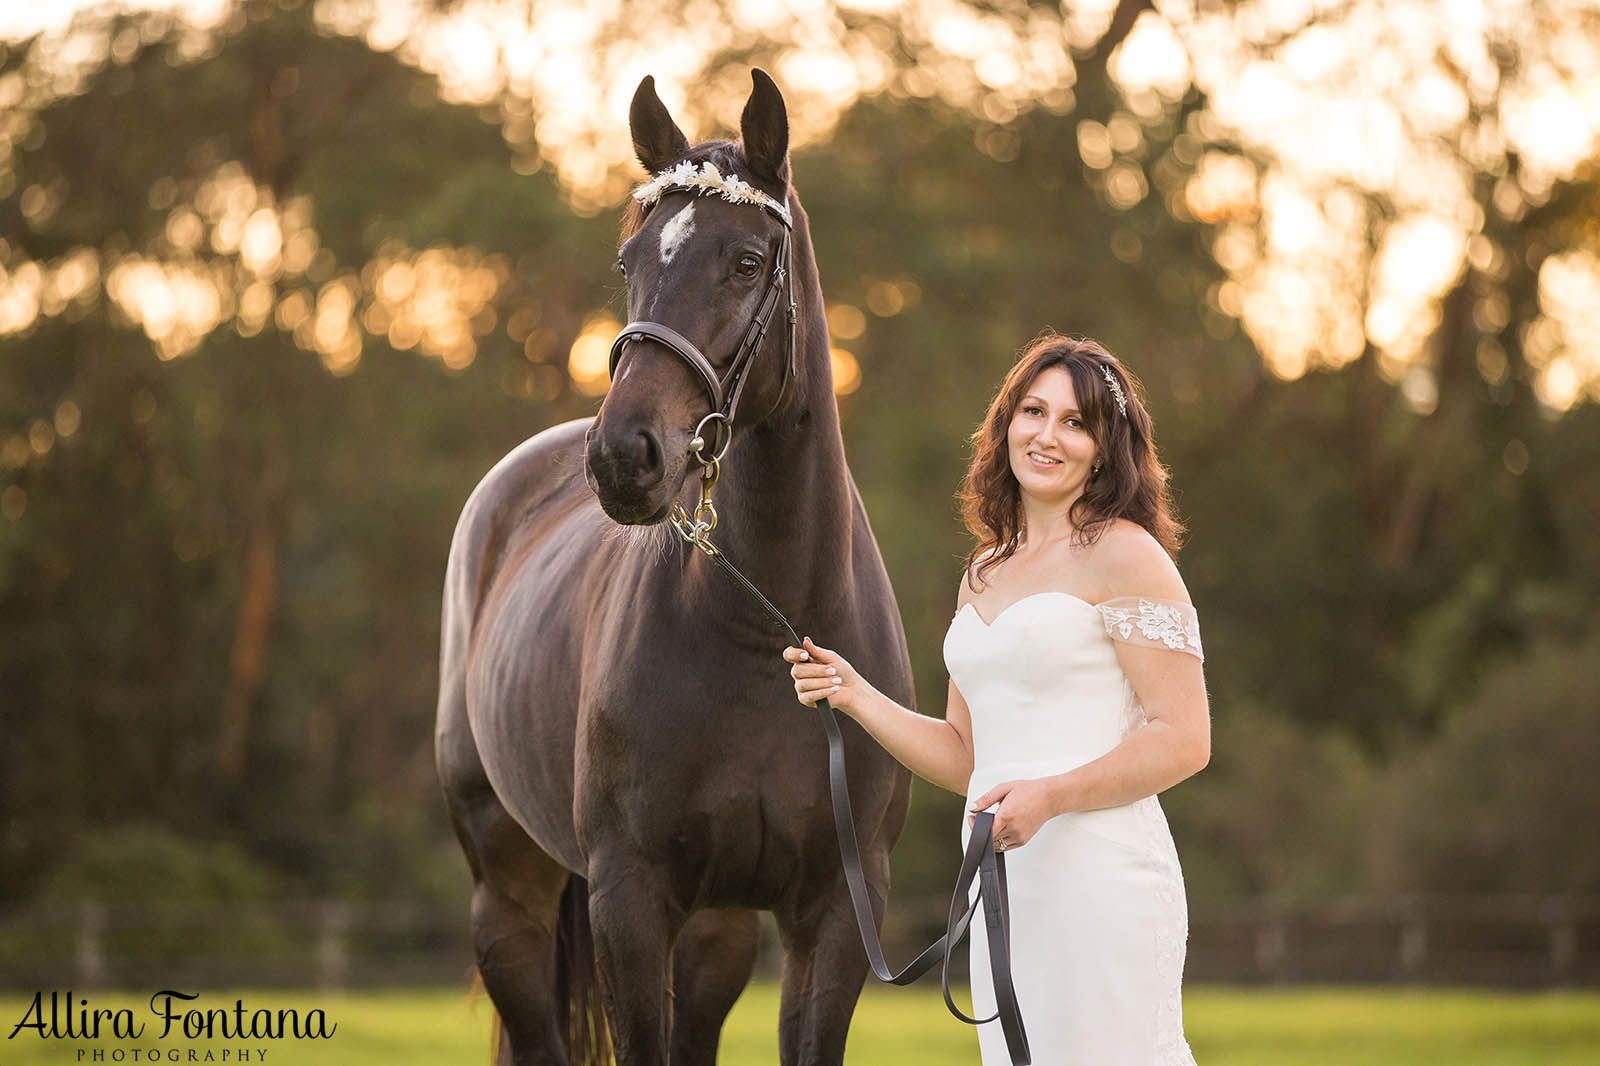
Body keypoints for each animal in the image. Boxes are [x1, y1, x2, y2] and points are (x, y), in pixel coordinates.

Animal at [435, 70, 915, 1056]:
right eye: (630, 264)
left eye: (747, 262)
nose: (624, 455)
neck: (767, 628)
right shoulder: (629, 899)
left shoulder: (836, 916)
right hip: (509, 896)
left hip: (717, 929)